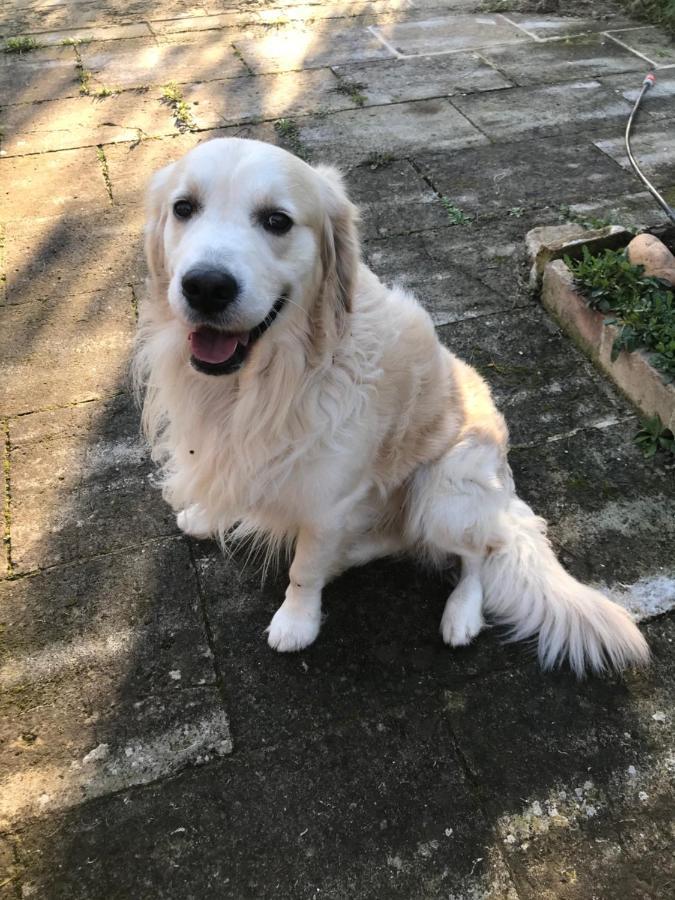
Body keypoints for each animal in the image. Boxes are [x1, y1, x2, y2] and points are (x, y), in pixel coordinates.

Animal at [133, 137, 648, 676]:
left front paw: (296, 622)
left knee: (482, 551)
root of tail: (505, 494)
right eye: (184, 208)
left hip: (444, 490)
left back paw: (461, 614)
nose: (206, 287)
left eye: (277, 220)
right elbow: (227, 484)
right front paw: (205, 515)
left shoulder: (329, 501)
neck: (272, 377)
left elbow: (304, 569)